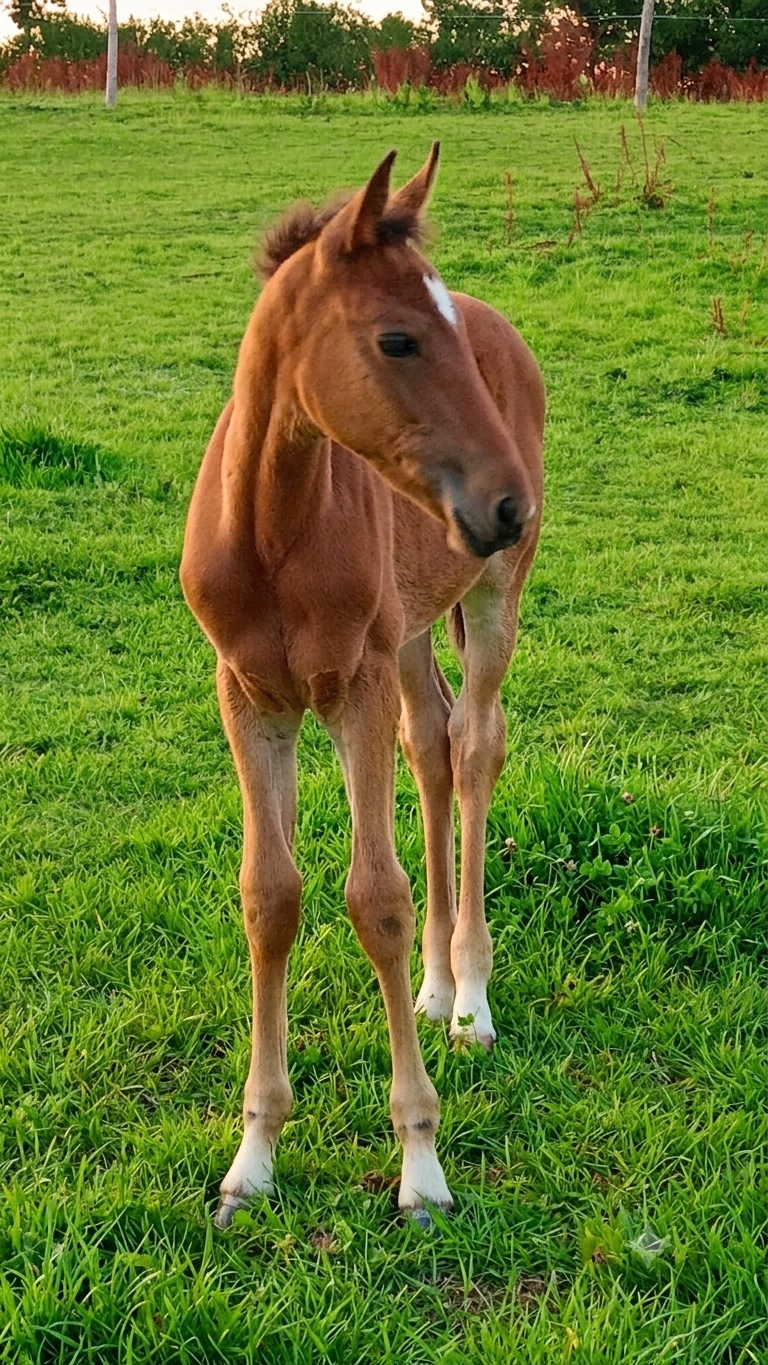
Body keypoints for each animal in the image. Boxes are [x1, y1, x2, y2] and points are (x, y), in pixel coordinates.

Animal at [180, 143, 545, 1227]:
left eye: (445, 334)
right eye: (397, 339)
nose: (508, 502)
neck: (270, 527)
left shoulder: (354, 690)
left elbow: (374, 897)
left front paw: (421, 1164)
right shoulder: (250, 698)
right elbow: (270, 896)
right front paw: (253, 1160)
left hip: (491, 598)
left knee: (474, 747)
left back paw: (470, 999)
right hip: (418, 628)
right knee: (433, 747)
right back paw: (434, 985)